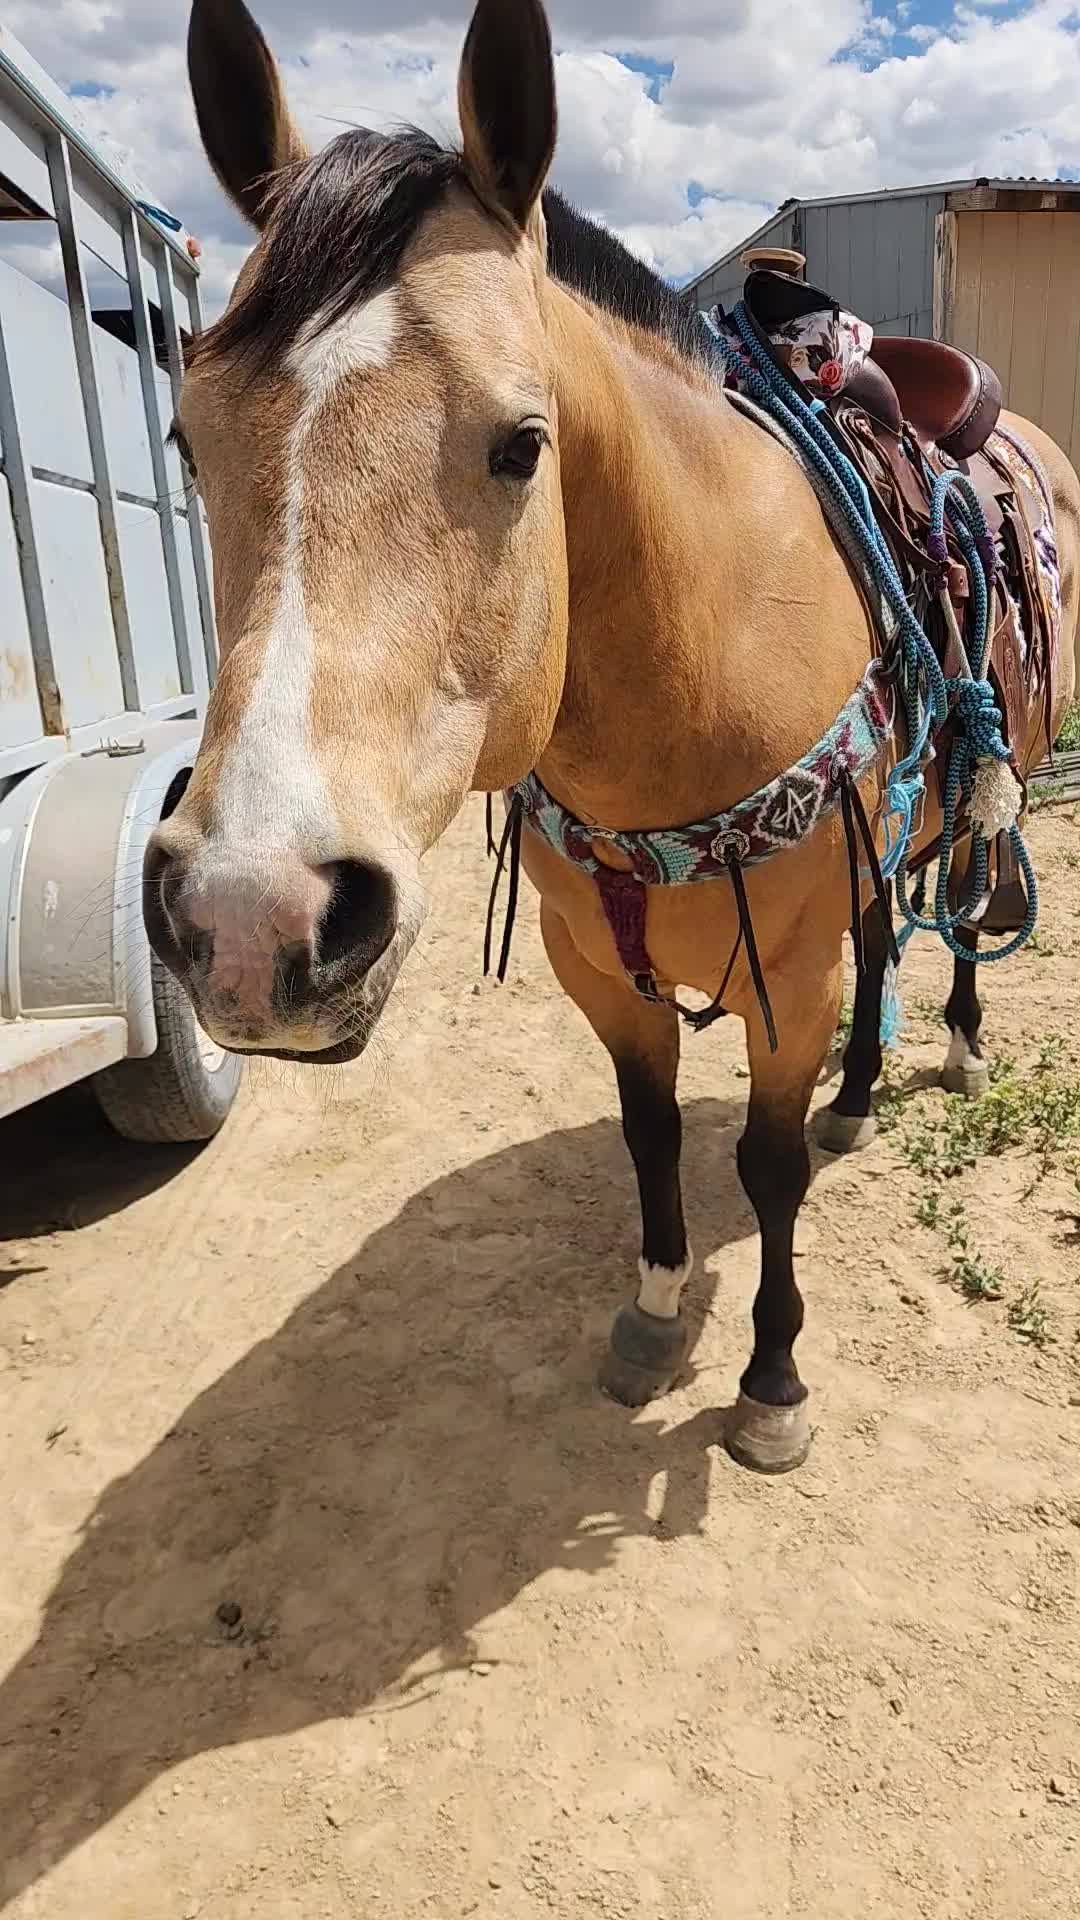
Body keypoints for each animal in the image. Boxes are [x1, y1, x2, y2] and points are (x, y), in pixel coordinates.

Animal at [148, 0, 1080, 1474]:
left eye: (522, 443)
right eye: (189, 440)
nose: (250, 918)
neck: (688, 675)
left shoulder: (786, 972)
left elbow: (764, 1168)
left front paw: (770, 1381)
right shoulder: (596, 964)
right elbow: (649, 1137)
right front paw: (650, 1317)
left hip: (1001, 783)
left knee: (964, 915)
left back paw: (959, 1047)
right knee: (887, 935)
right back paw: (862, 1091)